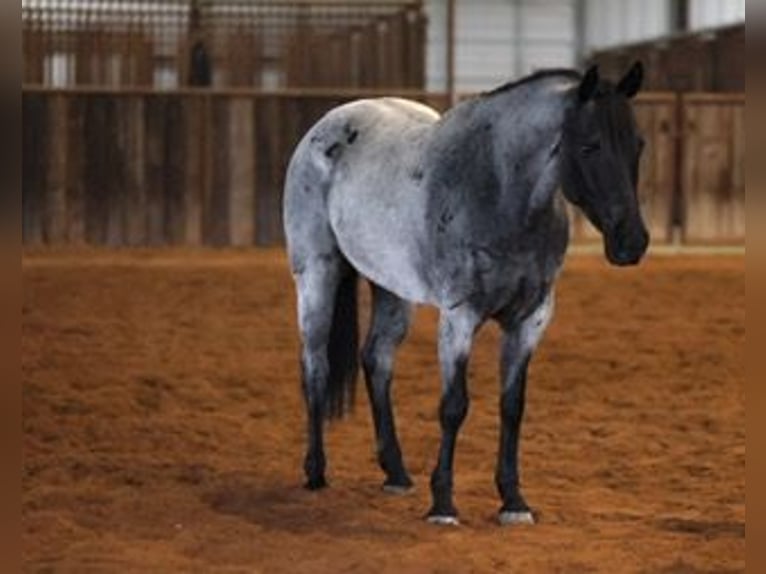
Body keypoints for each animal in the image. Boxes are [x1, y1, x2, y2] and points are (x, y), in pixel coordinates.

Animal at [282, 63, 648, 526]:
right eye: (590, 145)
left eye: (638, 145)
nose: (632, 243)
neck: (499, 190)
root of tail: (324, 127)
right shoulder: (459, 316)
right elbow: (454, 405)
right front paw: (443, 504)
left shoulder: (530, 320)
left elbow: (512, 406)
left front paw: (513, 501)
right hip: (316, 274)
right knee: (315, 365)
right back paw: (315, 472)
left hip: (391, 289)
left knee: (377, 360)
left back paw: (396, 473)